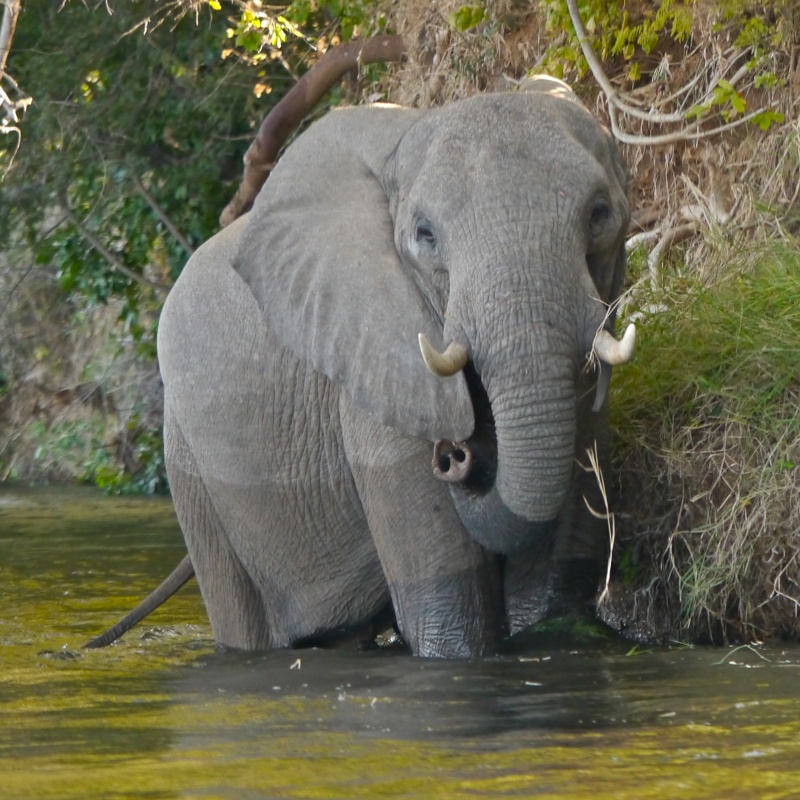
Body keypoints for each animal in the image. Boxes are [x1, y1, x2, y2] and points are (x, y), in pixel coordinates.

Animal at [144, 78, 636, 660]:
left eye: (600, 214)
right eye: (425, 235)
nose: (454, 456)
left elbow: (547, 588)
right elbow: (451, 611)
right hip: (190, 466)